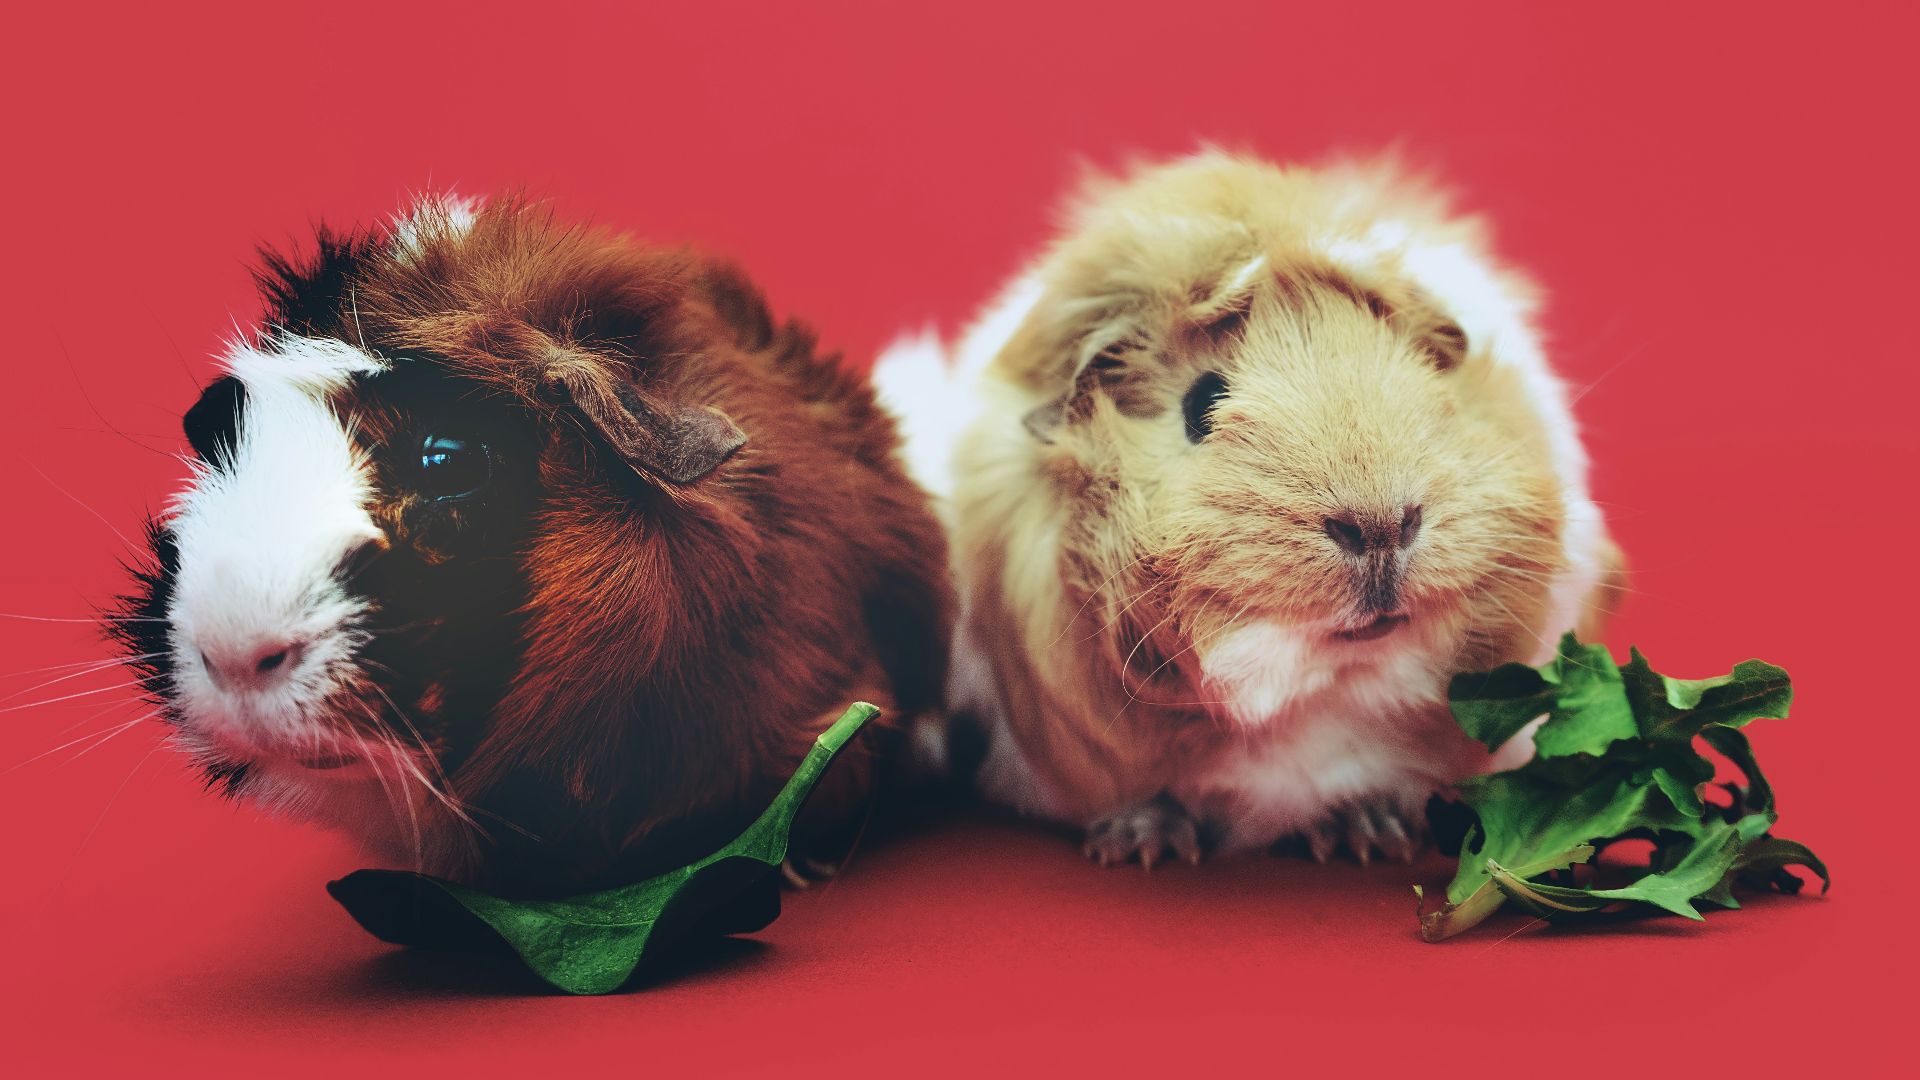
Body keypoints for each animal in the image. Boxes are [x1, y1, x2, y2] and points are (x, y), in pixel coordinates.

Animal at [876, 151, 1622, 867]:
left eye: (1430, 378)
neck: (1315, 691)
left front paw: (1368, 835)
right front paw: (1144, 848)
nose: (1381, 525)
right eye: (1202, 404)